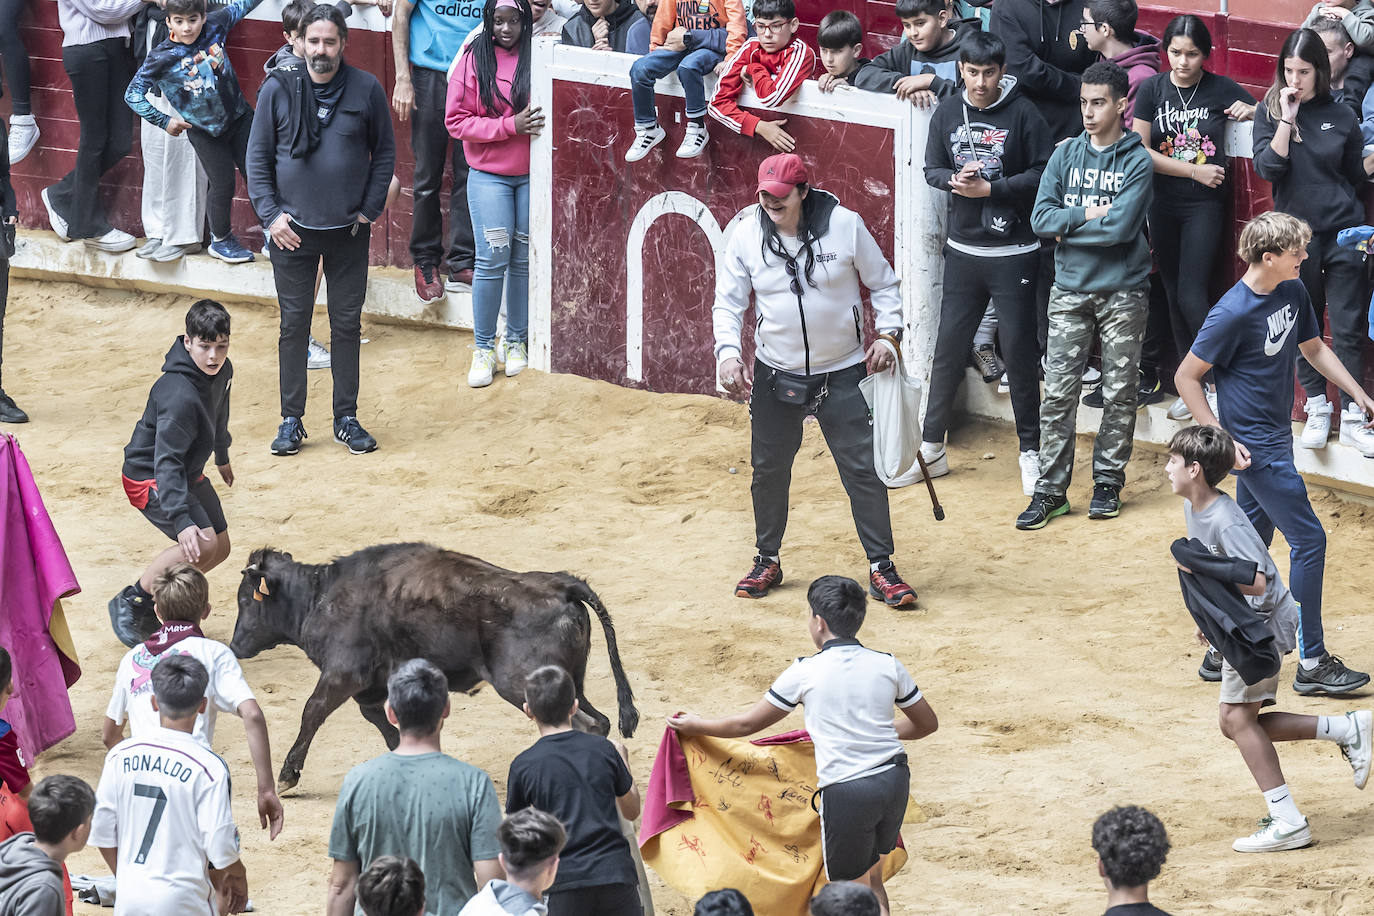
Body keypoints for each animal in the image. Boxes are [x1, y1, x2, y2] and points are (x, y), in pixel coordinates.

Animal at [233, 541, 640, 791]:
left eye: (246, 600)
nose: (235, 645)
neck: (322, 597)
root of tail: (560, 585)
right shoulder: (373, 685)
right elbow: (381, 720)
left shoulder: (343, 673)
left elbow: (313, 711)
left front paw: (288, 774)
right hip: (571, 681)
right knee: (601, 721)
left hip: (522, 683)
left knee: (584, 725)